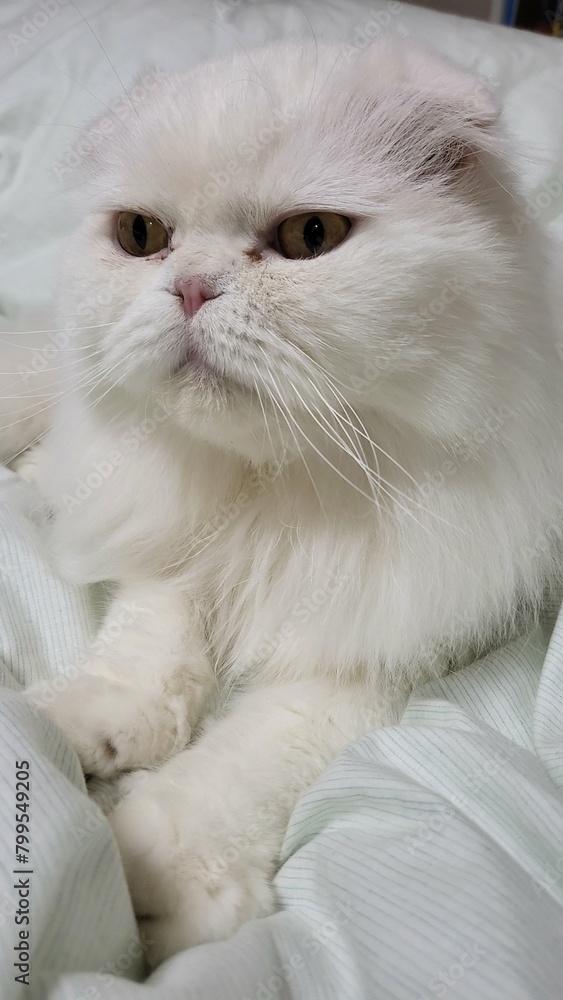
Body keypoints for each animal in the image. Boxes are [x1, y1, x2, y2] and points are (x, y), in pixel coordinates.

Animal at [20, 41, 563, 968]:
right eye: (142, 237)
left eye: (311, 237)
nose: (190, 287)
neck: (273, 486)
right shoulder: (175, 553)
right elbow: (148, 649)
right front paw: (84, 723)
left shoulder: (375, 654)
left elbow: (247, 761)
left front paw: (159, 879)